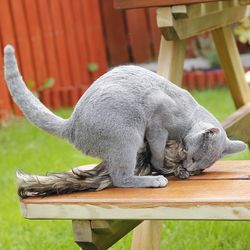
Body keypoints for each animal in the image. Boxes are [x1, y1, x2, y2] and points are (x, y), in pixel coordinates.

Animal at [3, 45, 246, 188]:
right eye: (194, 159)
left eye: (200, 166)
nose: (189, 169)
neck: (189, 117)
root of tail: (71, 124)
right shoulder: (157, 121)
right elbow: (158, 151)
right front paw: (163, 166)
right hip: (127, 137)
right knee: (120, 178)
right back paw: (154, 180)